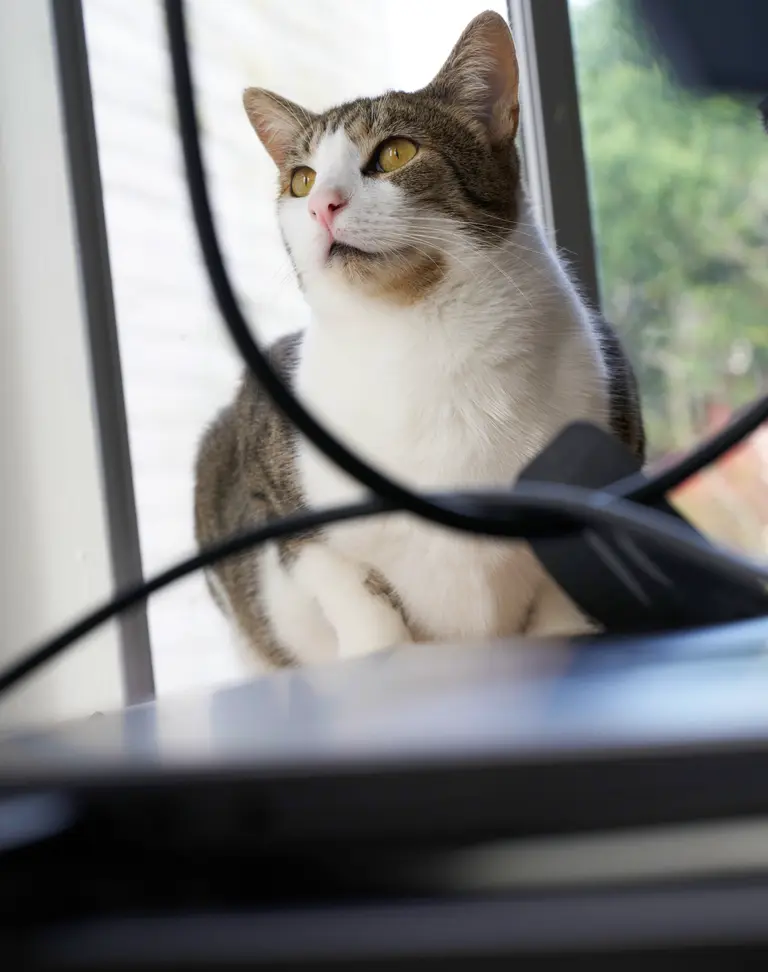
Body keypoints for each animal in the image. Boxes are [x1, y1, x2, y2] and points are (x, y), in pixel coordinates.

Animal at [192, 11, 640, 672]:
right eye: (301, 180)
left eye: (396, 153)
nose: (323, 205)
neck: (423, 336)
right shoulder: (269, 482)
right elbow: (348, 585)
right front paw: (378, 649)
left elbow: (564, 590)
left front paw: (564, 632)